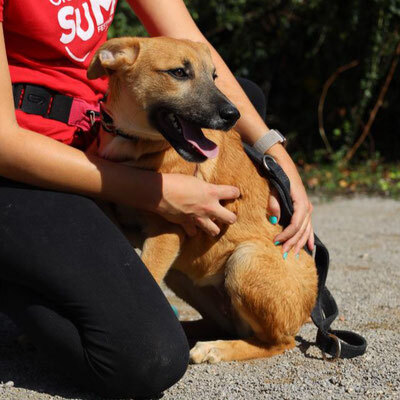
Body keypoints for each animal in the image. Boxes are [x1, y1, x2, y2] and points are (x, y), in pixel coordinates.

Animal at [87, 36, 318, 362]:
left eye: (214, 76)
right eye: (179, 72)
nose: (234, 115)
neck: (134, 144)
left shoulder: (167, 232)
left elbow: (147, 273)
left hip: (244, 260)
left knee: (275, 343)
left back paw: (215, 348)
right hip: (183, 277)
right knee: (227, 325)